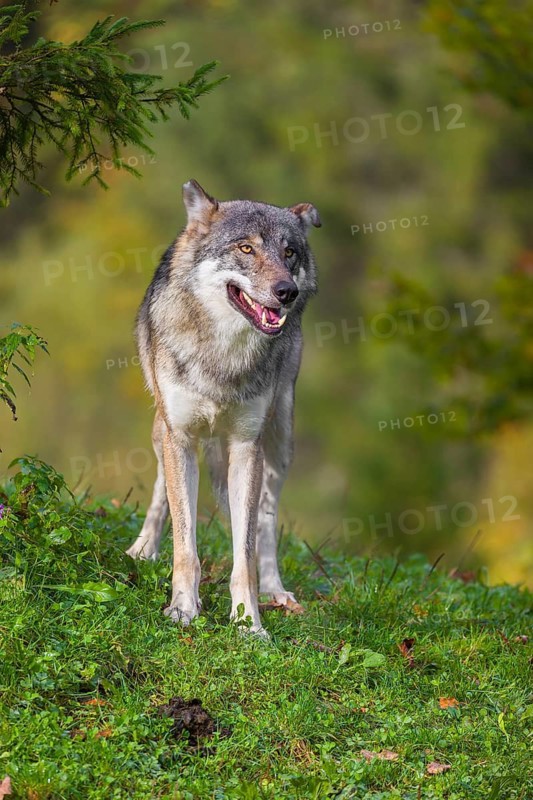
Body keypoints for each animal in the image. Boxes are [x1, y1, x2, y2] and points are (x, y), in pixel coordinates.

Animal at [126, 179, 321, 637]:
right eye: (246, 248)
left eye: (289, 252)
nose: (286, 292)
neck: (223, 354)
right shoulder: (179, 436)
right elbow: (185, 543)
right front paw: (183, 608)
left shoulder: (247, 446)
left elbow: (244, 551)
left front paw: (249, 621)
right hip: (163, 432)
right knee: (161, 489)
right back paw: (143, 548)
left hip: (279, 442)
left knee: (265, 519)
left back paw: (275, 591)